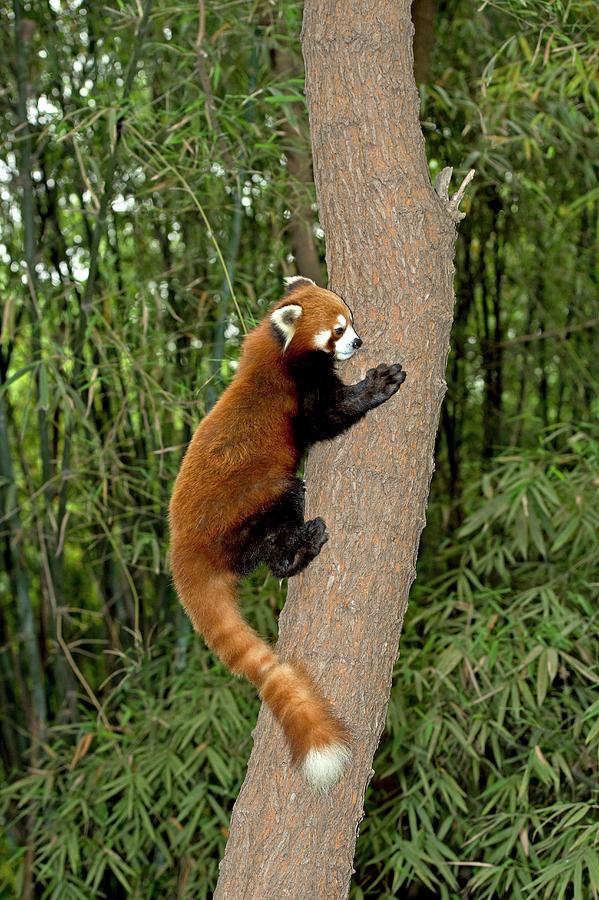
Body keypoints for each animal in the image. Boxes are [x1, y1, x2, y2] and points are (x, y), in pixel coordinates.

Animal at [168, 278, 408, 792]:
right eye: (337, 330)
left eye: (350, 320)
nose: (359, 342)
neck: (275, 351)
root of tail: (184, 551)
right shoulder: (300, 393)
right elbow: (328, 417)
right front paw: (379, 384)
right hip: (257, 508)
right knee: (283, 519)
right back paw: (302, 547)